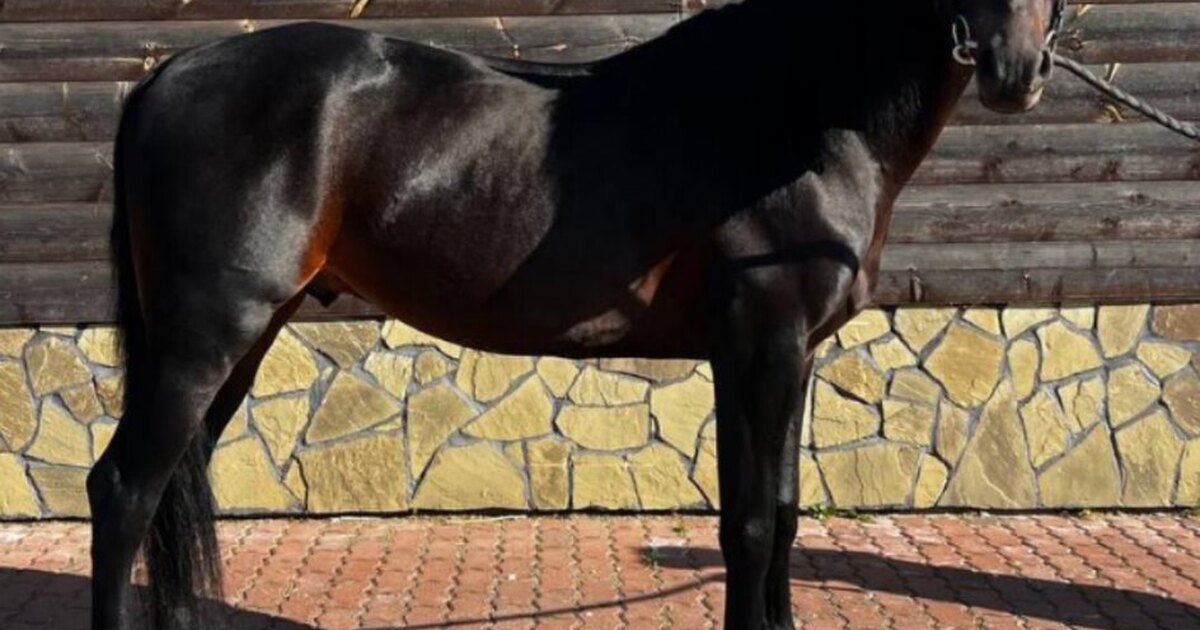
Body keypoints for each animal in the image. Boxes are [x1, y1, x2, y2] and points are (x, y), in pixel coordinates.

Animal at [88, 0, 1063, 627]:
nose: (1017, 72)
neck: (794, 116)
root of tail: (164, 78)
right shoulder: (761, 344)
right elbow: (749, 523)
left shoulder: (786, 355)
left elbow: (780, 515)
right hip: (205, 336)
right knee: (126, 489)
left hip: (241, 339)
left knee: (170, 488)